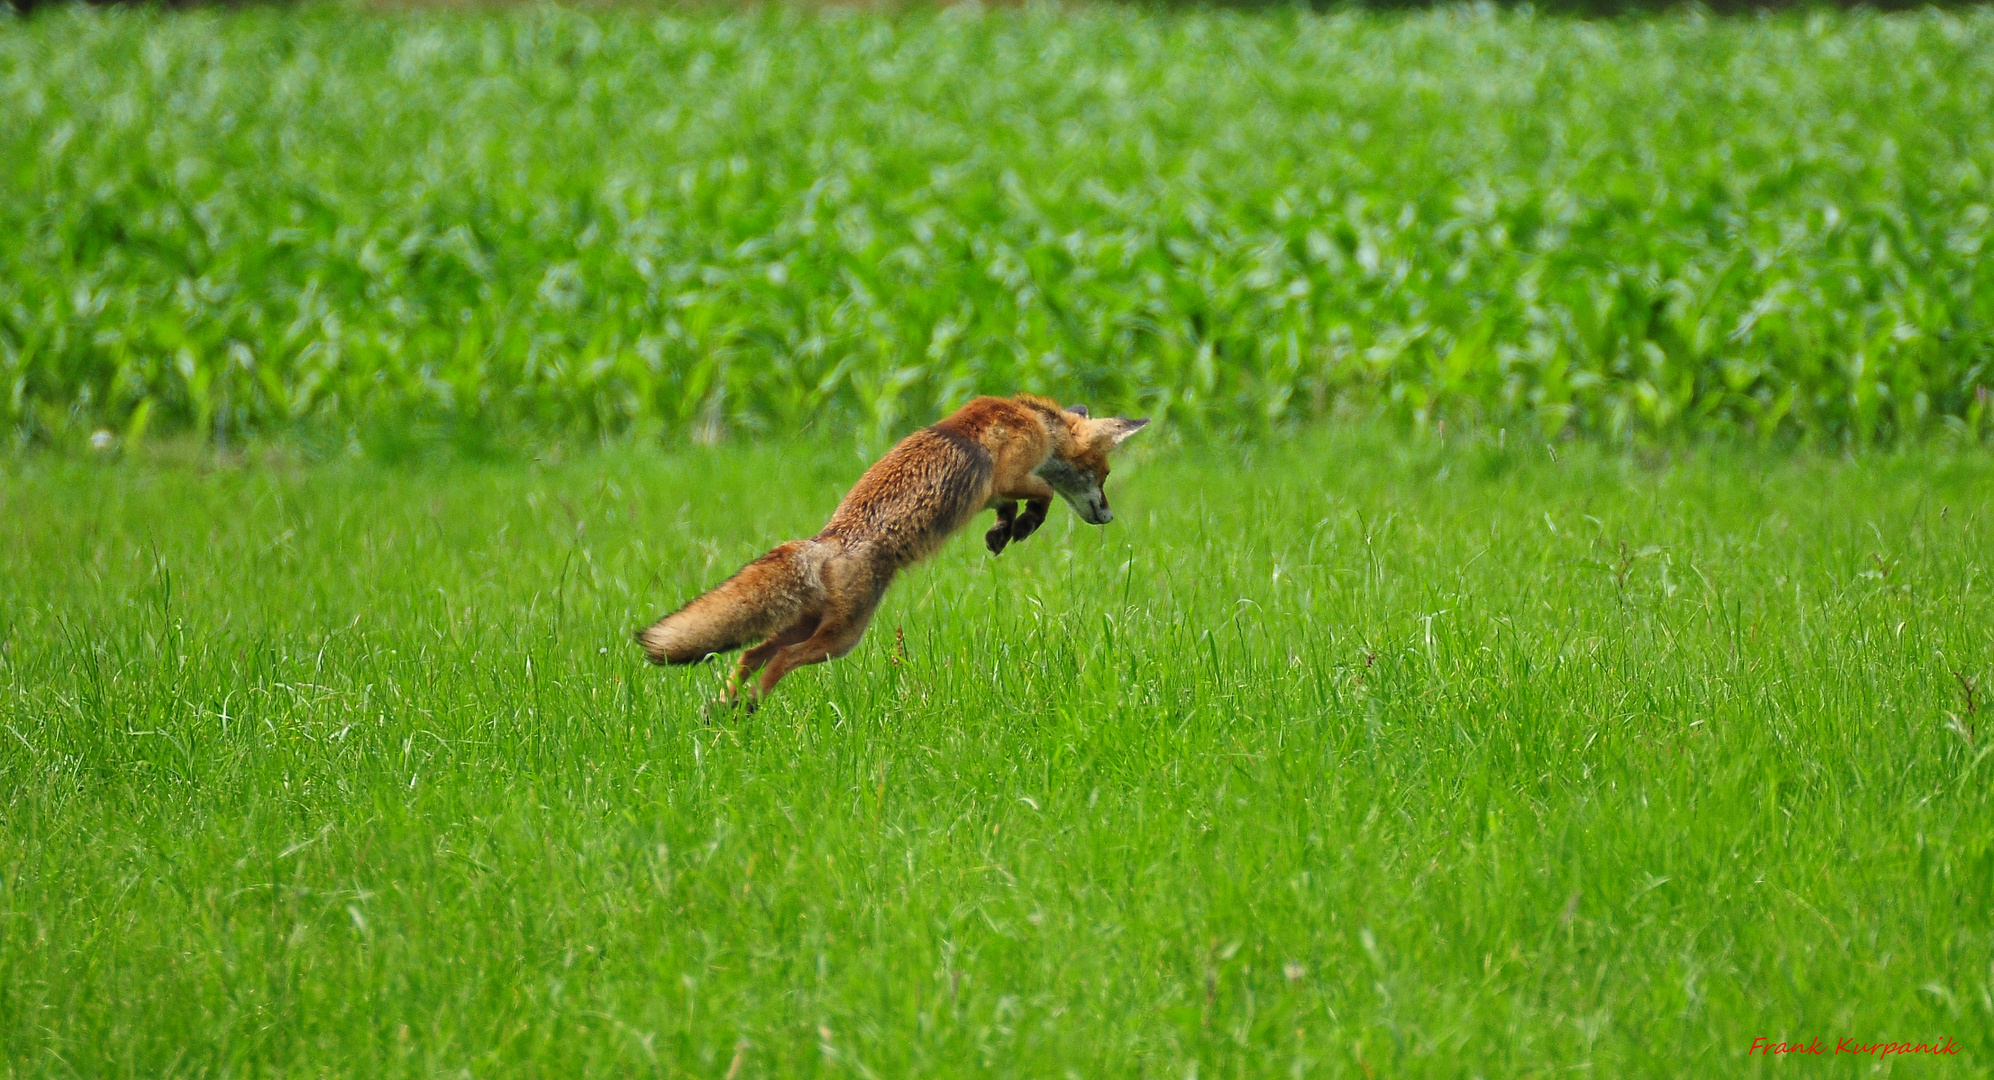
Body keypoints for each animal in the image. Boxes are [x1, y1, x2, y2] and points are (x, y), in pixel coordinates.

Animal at [642, 394, 1156, 705]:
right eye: (1104, 475)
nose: (1109, 517)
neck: (1029, 417)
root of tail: (826, 543)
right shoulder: (1008, 474)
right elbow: (1042, 493)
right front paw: (1024, 525)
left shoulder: (994, 491)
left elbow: (1009, 507)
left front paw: (1001, 533)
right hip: (841, 638)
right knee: (780, 660)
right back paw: (750, 706)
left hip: (810, 625)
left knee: (750, 655)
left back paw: (724, 708)